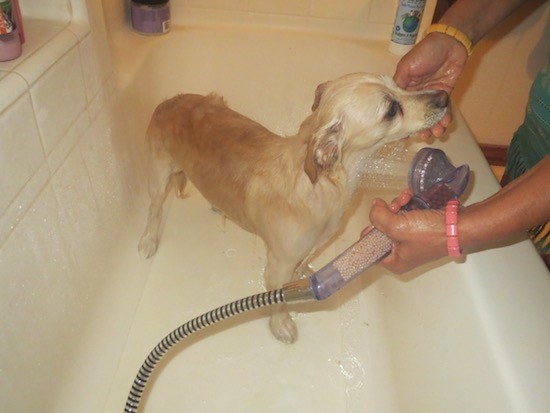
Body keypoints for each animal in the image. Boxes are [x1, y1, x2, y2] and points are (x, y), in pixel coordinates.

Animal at [137, 72, 448, 342]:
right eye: (391, 110)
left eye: (397, 83)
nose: (444, 96)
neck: (318, 186)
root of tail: (169, 100)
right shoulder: (277, 266)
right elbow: (278, 299)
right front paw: (280, 324)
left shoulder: (313, 244)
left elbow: (300, 267)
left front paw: (304, 278)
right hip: (159, 180)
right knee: (153, 210)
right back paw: (149, 240)